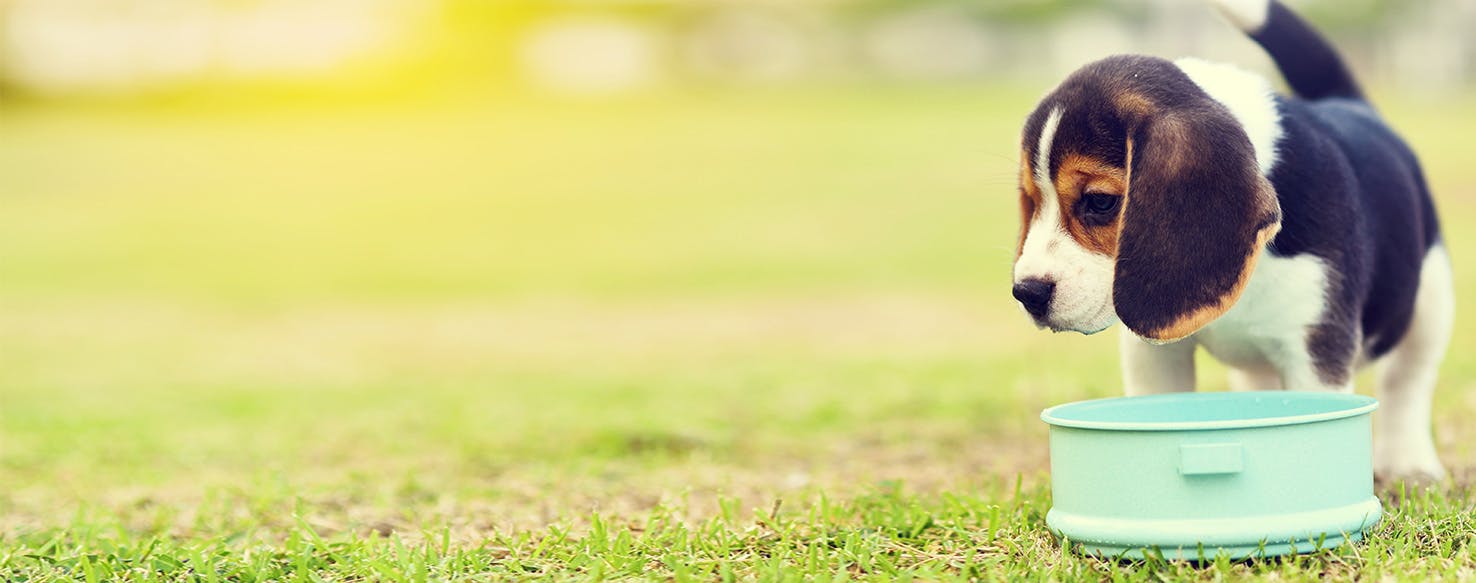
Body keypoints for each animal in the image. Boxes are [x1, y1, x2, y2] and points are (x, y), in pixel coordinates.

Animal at [1015, 0, 1452, 484]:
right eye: (1031, 201)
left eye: (1099, 202)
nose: (1026, 292)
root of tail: (1348, 102)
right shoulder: (1154, 356)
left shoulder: (1317, 349)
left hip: (1430, 301)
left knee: (1406, 382)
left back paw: (1410, 462)